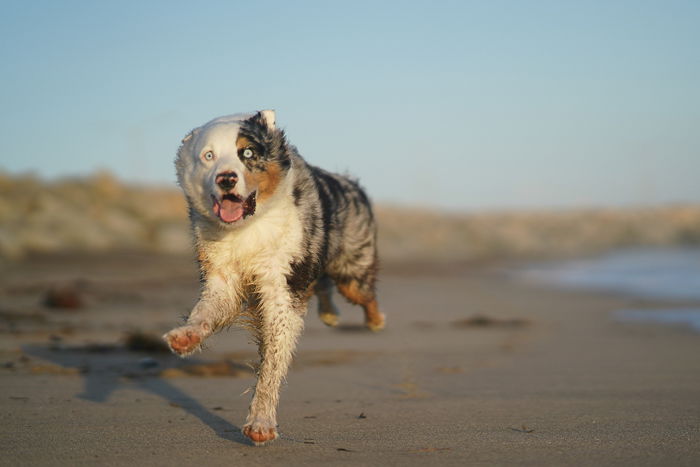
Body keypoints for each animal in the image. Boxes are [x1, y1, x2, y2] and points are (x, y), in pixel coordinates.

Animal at [162, 109, 386, 446]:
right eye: (208, 155)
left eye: (247, 153)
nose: (225, 178)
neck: (246, 227)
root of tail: (351, 183)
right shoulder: (222, 277)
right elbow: (204, 313)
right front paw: (186, 337)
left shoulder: (283, 284)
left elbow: (272, 361)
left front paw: (261, 423)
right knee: (322, 286)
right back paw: (330, 314)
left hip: (351, 269)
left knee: (362, 294)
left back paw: (374, 321)